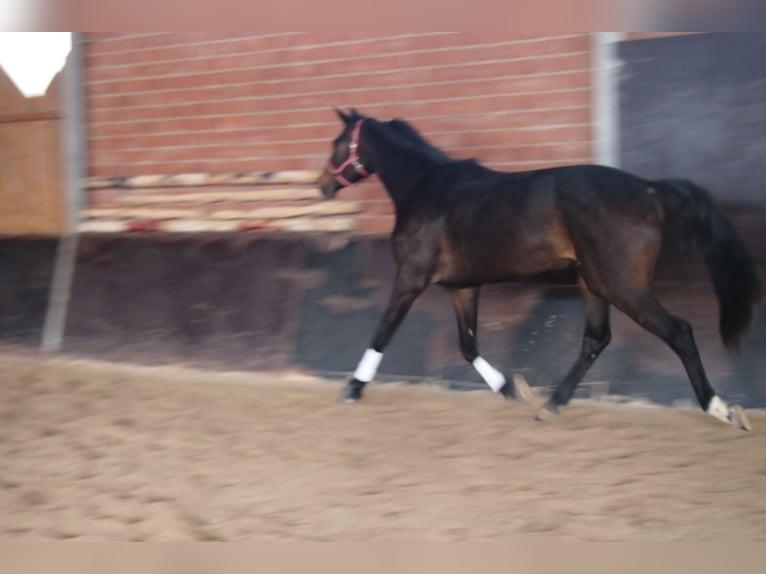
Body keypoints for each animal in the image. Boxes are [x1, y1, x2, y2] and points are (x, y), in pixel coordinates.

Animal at [317, 108, 762, 430]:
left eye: (337, 143)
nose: (323, 185)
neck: (427, 189)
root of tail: (649, 189)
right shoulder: (463, 287)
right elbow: (467, 346)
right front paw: (511, 389)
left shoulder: (411, 278)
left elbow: (382, 333)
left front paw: (353, 388)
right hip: (593, 283)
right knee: (596, 339)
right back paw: (552, 404)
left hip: (622, 285)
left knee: (679, 332)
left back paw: (720, 408)